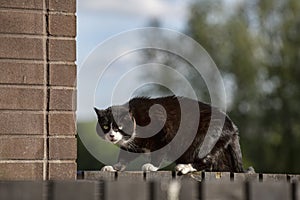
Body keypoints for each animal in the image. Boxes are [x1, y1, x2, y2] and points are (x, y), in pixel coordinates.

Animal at [94, 95, 244, 173]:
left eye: (119, 126)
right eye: (105, 126)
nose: (111, 135)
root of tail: (232, 126)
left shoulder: (162, 133)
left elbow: (159, 152)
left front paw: (152, 166)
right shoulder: (133, 145)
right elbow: (125, 156)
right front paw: (114, 167)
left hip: (202, 141)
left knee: (207, 161)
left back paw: (185, 167)